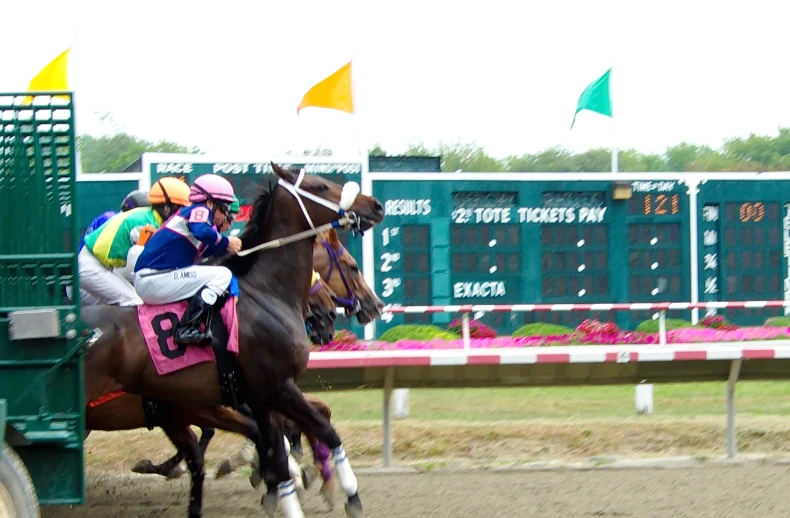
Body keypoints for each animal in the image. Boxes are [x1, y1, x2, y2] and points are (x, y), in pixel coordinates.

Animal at [80, 166, 384, 518]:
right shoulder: (274, 387)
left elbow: (279, 452)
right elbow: (321, 431)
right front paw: (347, 492)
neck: (265, 292)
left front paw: (287, 484)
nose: (375, 205)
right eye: (321, 186)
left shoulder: (259, 396)